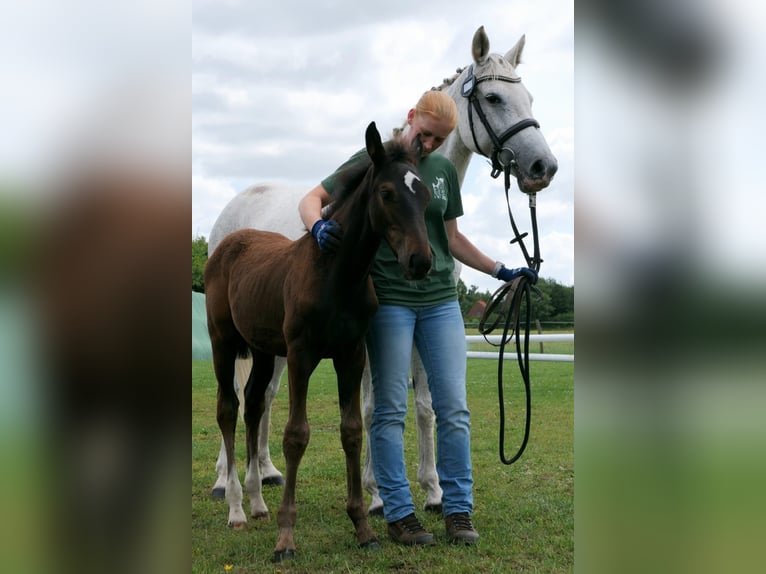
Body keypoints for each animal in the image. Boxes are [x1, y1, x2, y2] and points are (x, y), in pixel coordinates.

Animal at [207, 27, 560, 520]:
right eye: (493, 97)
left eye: (528, 97)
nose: (543, 167)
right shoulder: (371, 337)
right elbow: (374, 408)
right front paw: (376, 494)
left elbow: (426, 407)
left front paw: (433, 490)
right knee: (237, 401)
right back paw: (226, 483)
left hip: (268, 344)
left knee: (264, 397)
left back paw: (269, 473)